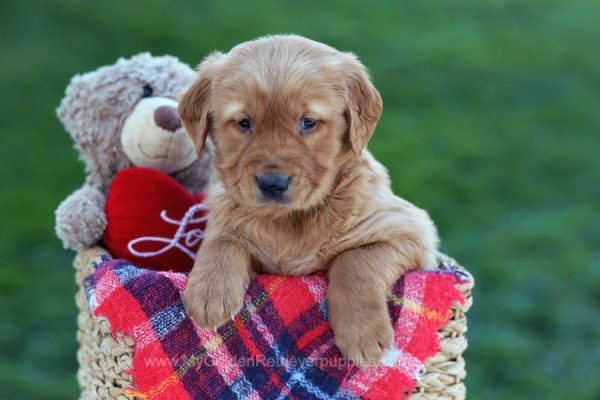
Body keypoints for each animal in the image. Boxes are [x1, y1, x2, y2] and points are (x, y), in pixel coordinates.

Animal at [177, 36, 436, 368]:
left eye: (308, 122)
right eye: (244, 123)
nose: (272, 184)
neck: (290, 219)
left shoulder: (411, 231)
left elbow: (356, 261)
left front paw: (363, 334)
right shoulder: (225, 214)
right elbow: (223, 240)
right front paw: (210, 291)